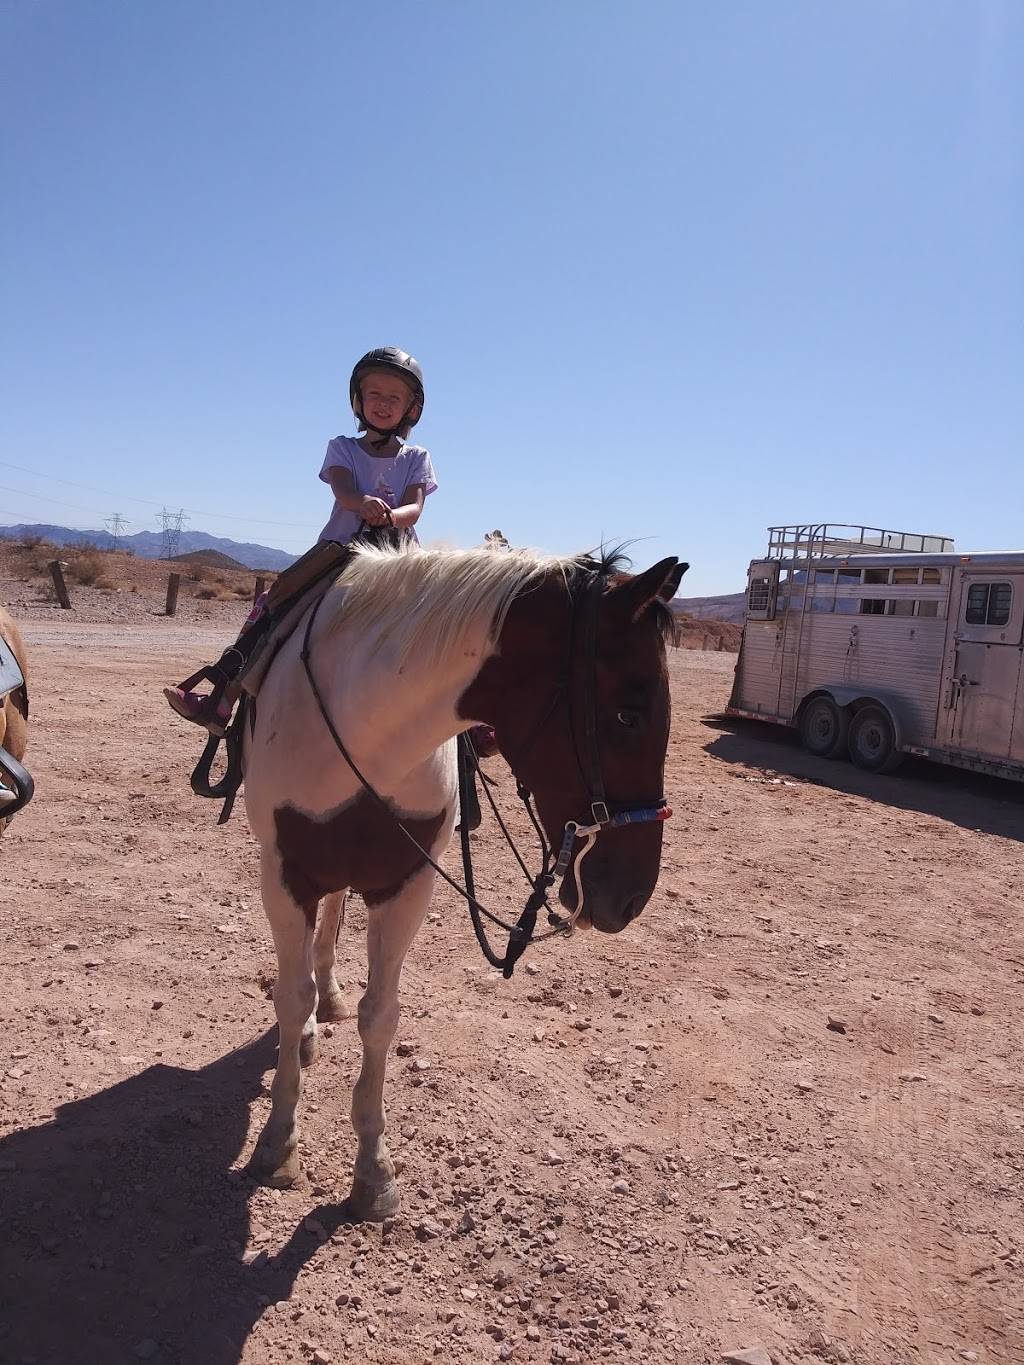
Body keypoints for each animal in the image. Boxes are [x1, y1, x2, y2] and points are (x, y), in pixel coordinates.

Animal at [243, 543, 690, 1217]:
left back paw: (332, 995)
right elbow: (290, 1000)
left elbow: (381, 1015)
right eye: (628, 714)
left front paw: (373, 1171)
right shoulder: (285, 878)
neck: (366, 730)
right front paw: (278, 1143)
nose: (631, 897)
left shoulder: (404, 886)